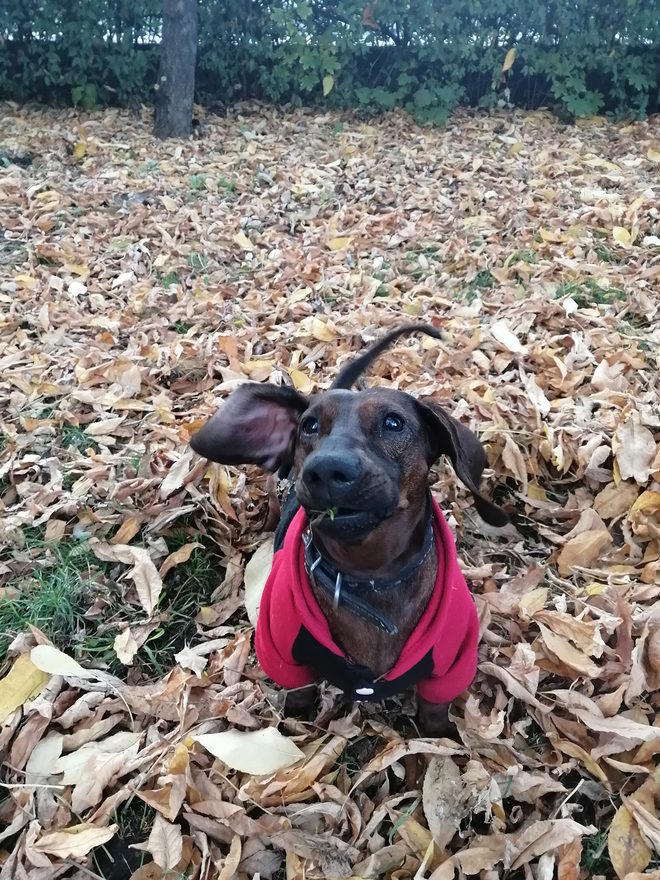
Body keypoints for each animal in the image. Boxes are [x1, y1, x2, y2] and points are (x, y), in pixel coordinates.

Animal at [188, 324, 508, 736]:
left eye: (393, 423)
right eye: (309, 425)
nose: (325, 470)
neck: (369, 578)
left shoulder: (453, 662)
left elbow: (435, 708)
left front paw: (438, 738)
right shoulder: (282, 651)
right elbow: (300, 690)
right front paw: (296, 719)